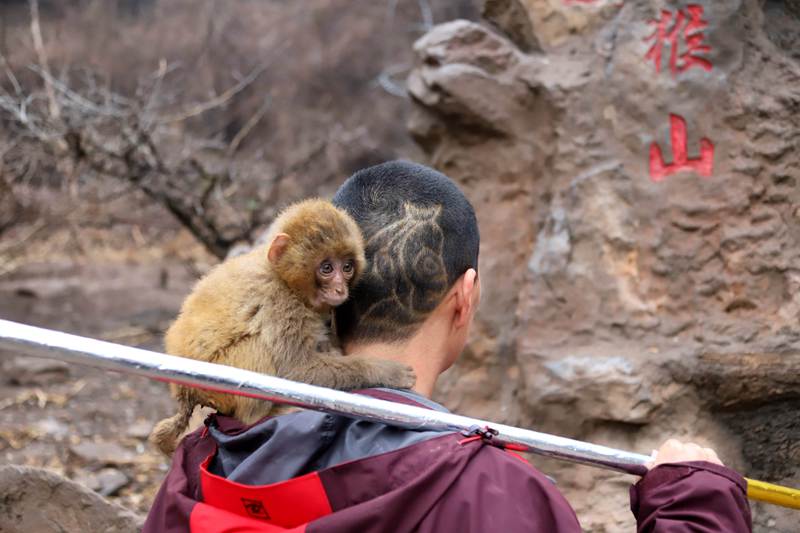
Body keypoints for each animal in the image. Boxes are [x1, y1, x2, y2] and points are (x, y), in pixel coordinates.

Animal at [150, 197, 416, 456]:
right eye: (327, 268)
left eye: (347, 267)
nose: (340, 289)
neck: (284, 280)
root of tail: (183, 393)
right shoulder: (280, 303)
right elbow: (297, 371)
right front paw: (382, 370)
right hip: (216, 383)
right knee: (256, 347)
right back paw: (261, 416)